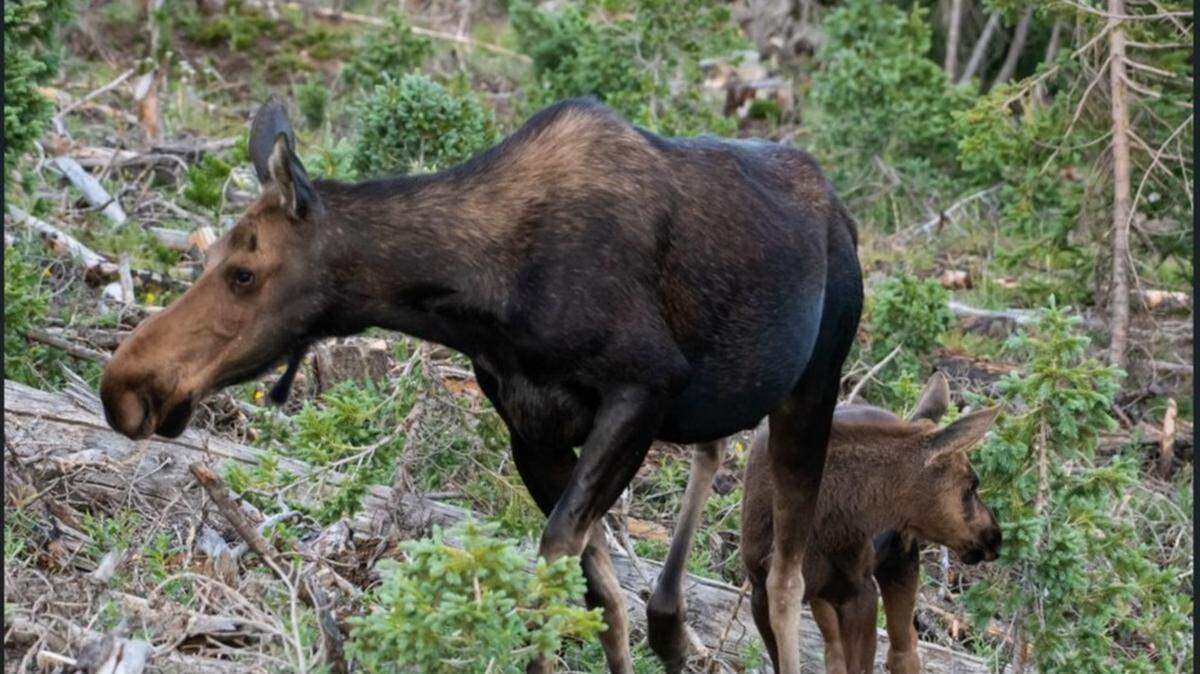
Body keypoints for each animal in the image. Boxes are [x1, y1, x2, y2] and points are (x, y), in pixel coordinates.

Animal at [99, 97, 863, 673]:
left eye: (244, 273)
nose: (124, 385)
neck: (482, 297)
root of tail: (841, 211)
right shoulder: (531, 426)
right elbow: (596, 593)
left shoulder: (644, 387)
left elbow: (554, 569)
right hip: (723, 399)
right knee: (714, 459)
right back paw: (671, 623)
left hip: (816, 384)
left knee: (785, 579)